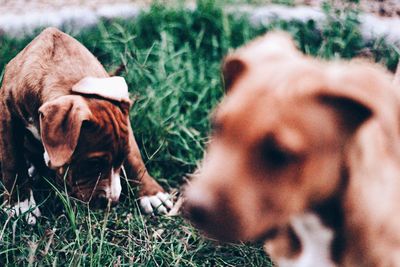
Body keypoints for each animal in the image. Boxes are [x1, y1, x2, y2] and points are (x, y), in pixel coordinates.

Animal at [0, 27, 172, 225]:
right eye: (93, 163)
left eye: (121, 159)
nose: (111, 202)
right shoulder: (7, 115)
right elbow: (12, 161)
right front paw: (21, 206)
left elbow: (134, 157)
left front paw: (151, 194)